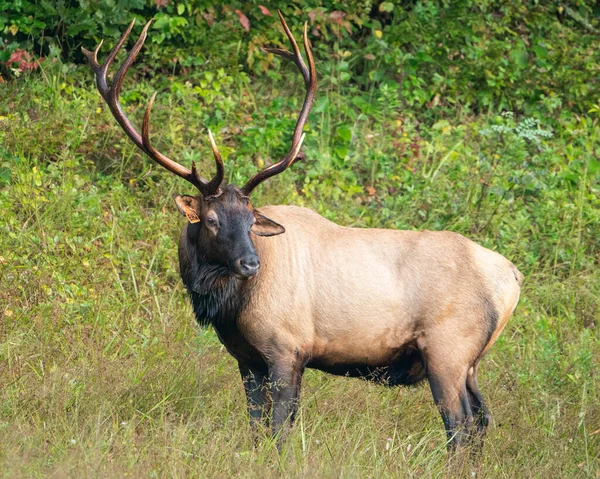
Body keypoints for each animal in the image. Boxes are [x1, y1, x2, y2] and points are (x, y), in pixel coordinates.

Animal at [82, 14, 524, 450]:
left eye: (251, 220)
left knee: (461, 426)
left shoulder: (287, 347)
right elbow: (256, 427)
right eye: (211, 220)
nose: (250, 264)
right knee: (482, 421)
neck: (230, 307)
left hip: (448, 350)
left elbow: (279, 429)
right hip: (471, 362)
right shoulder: (247, 359)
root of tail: (513, 279)